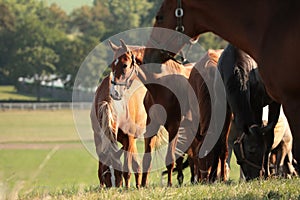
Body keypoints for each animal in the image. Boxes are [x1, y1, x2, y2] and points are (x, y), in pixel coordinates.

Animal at [108, 39, 195, 187]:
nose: (115, 93)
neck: (162, 86)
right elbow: (147, 160)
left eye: (125, 65)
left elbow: (170, 158)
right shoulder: (152, 126)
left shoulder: (174, 127)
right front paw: (143, 185)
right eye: (112, 66)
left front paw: (169, 184)